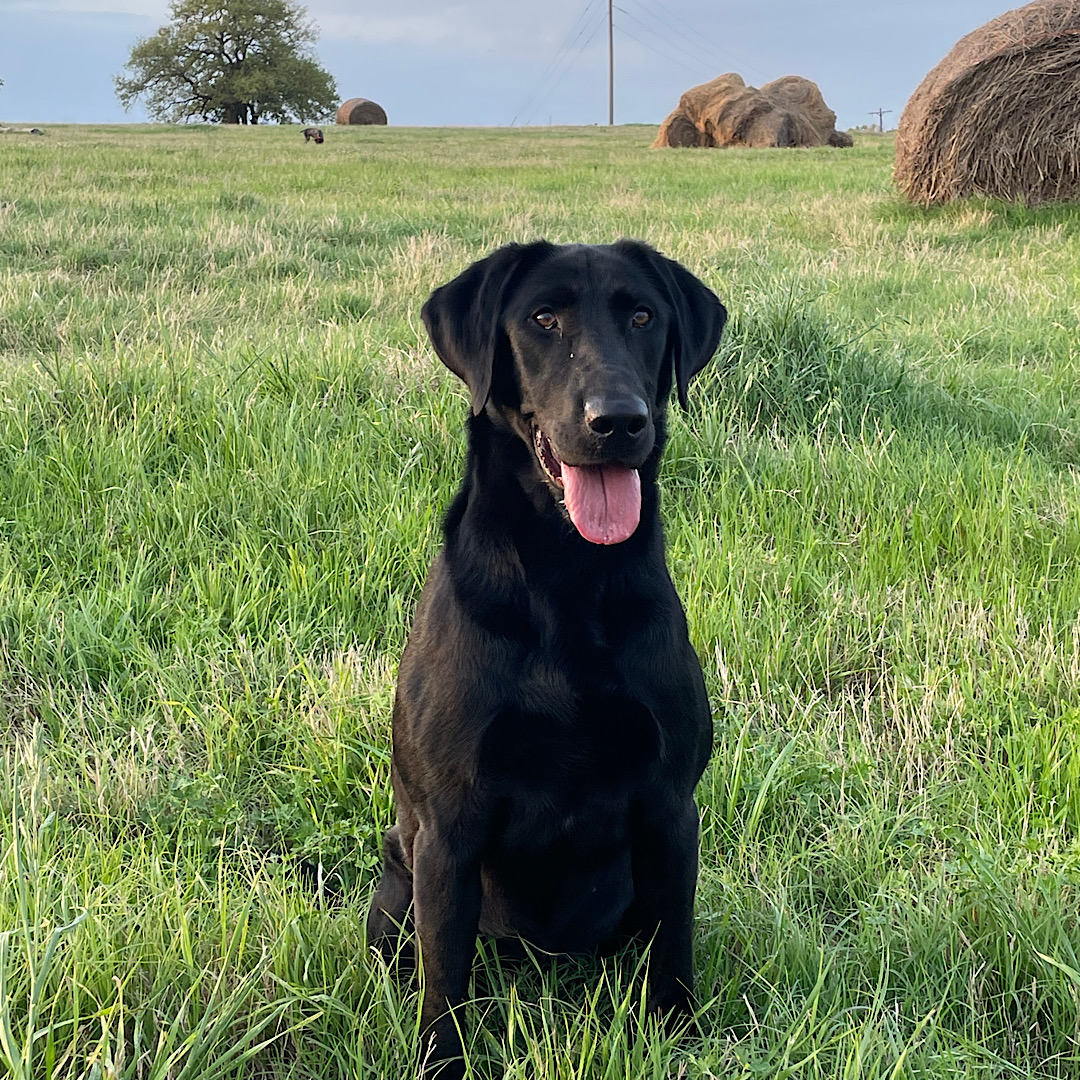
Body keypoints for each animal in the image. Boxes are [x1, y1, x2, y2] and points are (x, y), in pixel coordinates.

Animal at [367, 240, 730, 1075]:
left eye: (643, 316)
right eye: (542, 318)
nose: (618, 421)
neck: (567, 576)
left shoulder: (670, 808)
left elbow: (674, 948)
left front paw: (676, 1036)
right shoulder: (449, 826)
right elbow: (445, 980)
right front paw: (442, 1063)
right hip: (398, 881)